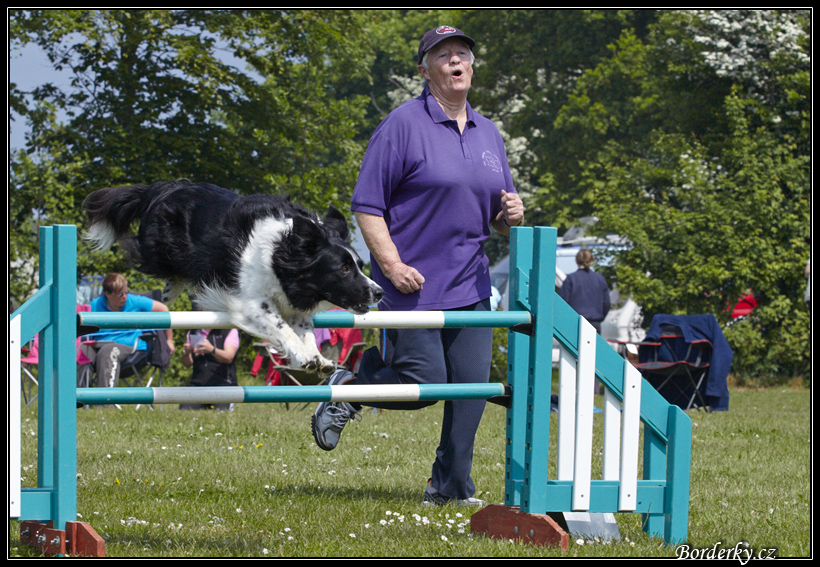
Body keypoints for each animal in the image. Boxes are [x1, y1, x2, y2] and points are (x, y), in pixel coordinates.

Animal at [81, 181, 382, 372]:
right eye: (343, 269)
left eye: (359, 264)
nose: (378, 292)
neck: (283, 251)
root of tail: (161, 187)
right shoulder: (253, 302)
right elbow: (282, 327)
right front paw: (304, 356)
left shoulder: (293, 300)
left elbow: (304, 328)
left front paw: (316, 357)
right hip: (162, 247)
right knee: (146, 254)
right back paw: (170, 289)